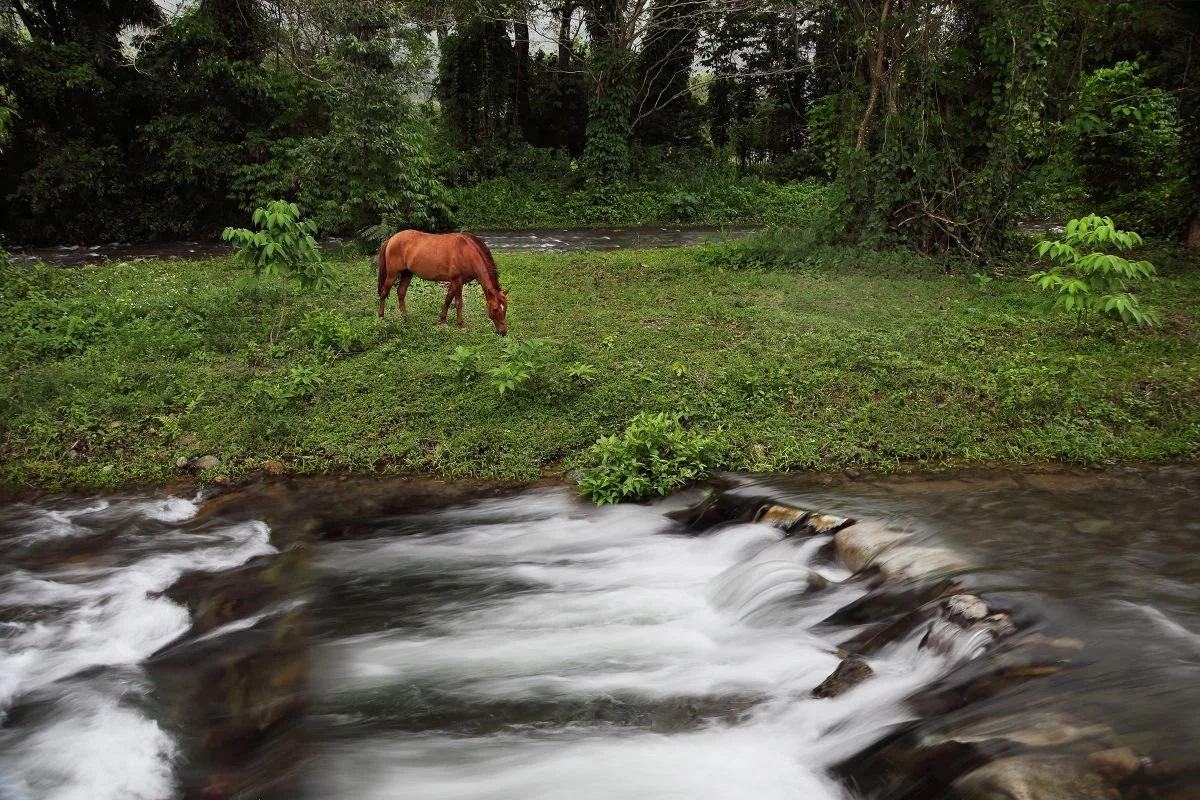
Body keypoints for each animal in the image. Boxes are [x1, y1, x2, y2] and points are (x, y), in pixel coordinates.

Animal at [377, 230, 509, 335]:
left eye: (505, 308)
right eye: (495, 309)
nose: (503, 331)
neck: (466, 252)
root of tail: (391, 239)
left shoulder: (456, 282)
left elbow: (448, 299)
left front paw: (442, 321)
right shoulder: (457, 280)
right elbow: (458, 302)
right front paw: (461, 325)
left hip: (407, 273)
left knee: (401, 292)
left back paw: (405, 318)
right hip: (392, 275)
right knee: (383, 293)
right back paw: (381, 318)